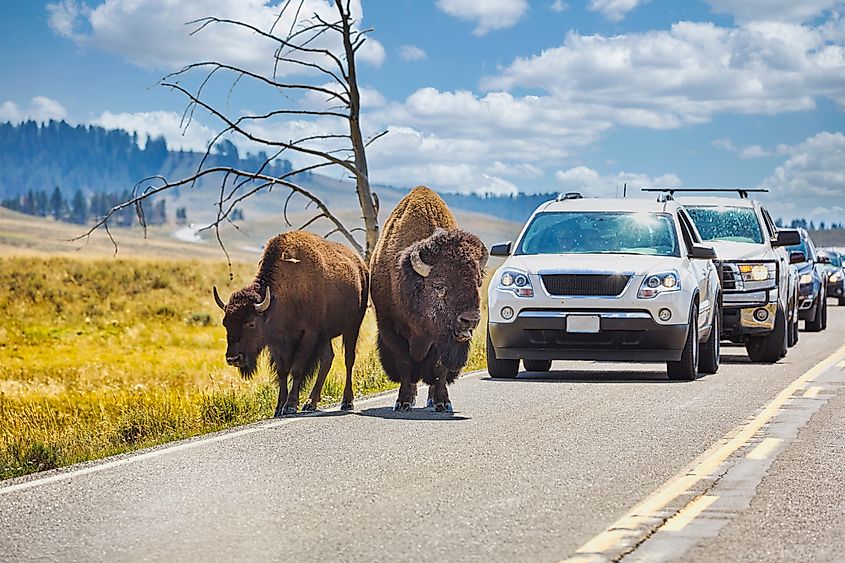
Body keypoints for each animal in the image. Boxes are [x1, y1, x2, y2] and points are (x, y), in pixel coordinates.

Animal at [213, 231, 368, 416]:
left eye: (251, 323)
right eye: (225, 323)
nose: (233, 358)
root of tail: (361, 266)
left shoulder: (308, 334)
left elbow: (296, 369)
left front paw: (290, 406)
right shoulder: (276, 342)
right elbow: (282, 371)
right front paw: (279, 407)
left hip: (352, 326)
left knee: (348, 359)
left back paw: (346, 402)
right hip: (326, 336)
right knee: (327, 359)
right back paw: (310, 403)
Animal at [370, 186, 488, 412]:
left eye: (478, 282)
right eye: (439, 285)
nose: (470, 320)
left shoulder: (441, 341)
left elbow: (439, 369)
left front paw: (443, 402)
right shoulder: (391, 331)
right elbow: (405, 364)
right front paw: (403, 402)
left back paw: (432, 399)